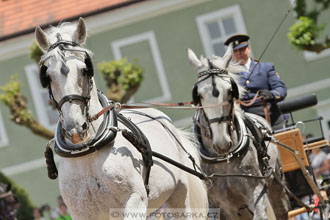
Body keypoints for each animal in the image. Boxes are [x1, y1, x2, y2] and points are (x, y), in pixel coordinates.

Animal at [34, 18, 208, 219]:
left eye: (85, 70)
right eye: (47, 76)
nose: (75, 129)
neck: (88, 151)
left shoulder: (134, 202)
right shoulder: (81, 213)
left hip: (179, 194)